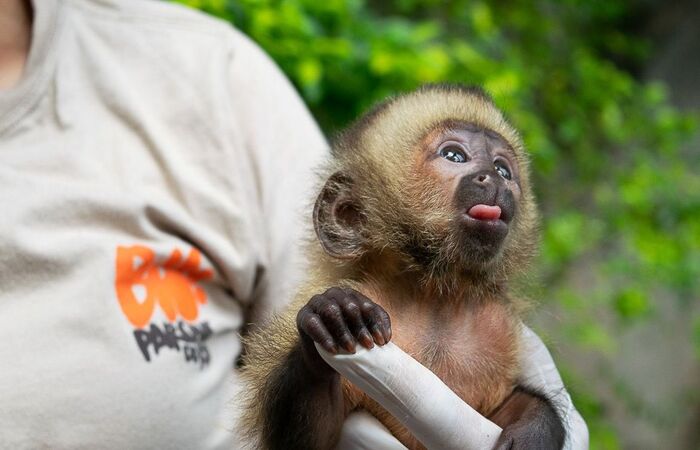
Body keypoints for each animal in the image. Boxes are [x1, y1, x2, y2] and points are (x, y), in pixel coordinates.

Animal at [239, 84, 566, 450]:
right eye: (454, 156)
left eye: (504, 169)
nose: (494, 178)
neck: (434, 296)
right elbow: (310, 441)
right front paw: (336, 316)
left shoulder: (498, 327)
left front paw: (535, 428)